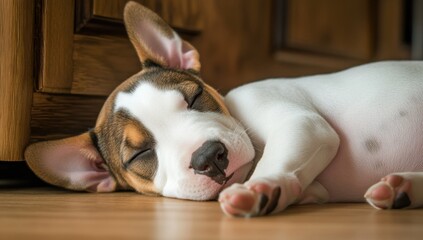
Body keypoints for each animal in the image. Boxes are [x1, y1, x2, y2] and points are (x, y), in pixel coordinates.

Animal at [25, 0, 423, 218]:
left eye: (194, 97)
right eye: (140, 155)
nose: (208, 158)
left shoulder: (303, 123)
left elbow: (275, 160)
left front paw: (261, 186)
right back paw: (402, 188)